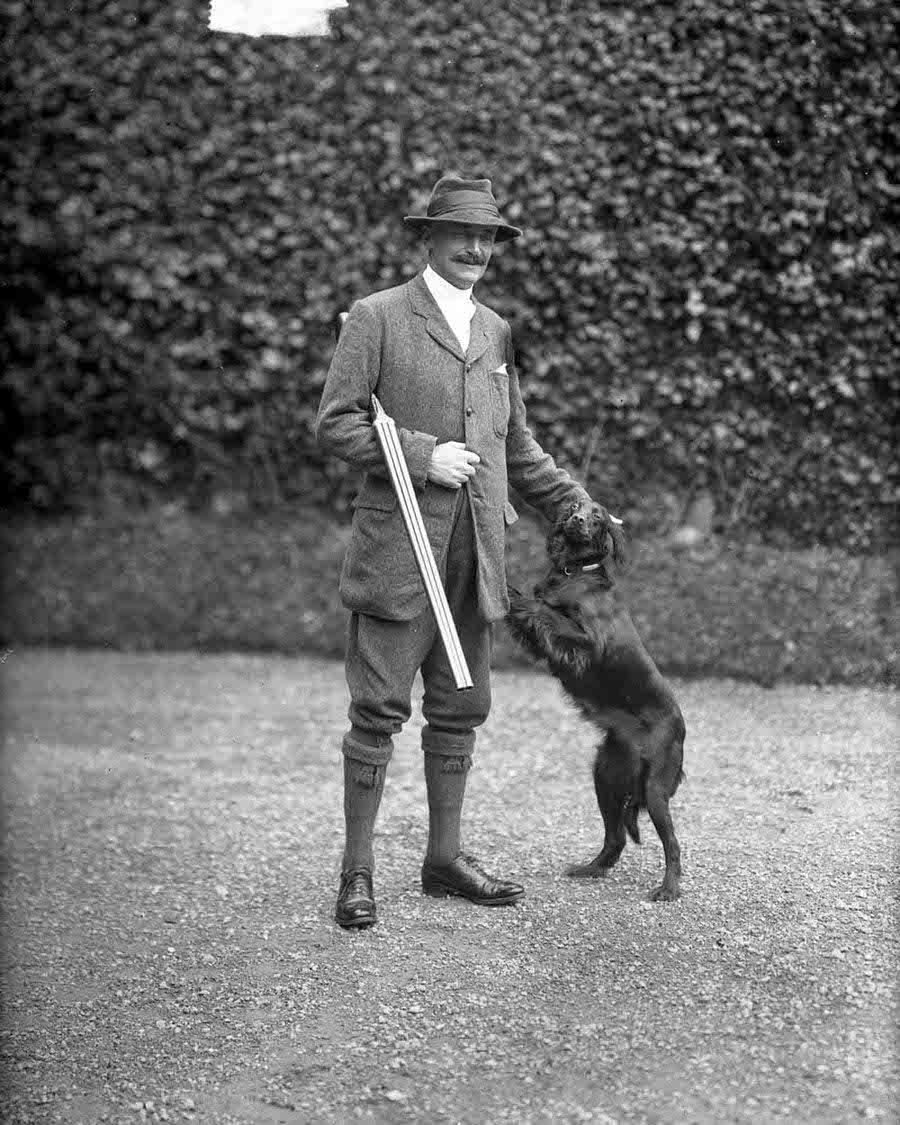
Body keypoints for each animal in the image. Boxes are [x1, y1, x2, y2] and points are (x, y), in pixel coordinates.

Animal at [501, 501, 684, 904]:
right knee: (615, 838)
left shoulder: (589, 642)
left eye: (598, 515)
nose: (578, 518)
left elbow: (543, 609)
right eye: (573, 506)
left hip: (656, 788)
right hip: (605, 774)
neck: (574, 572)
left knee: (672, 845)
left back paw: (669, 888)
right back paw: (591, 868)